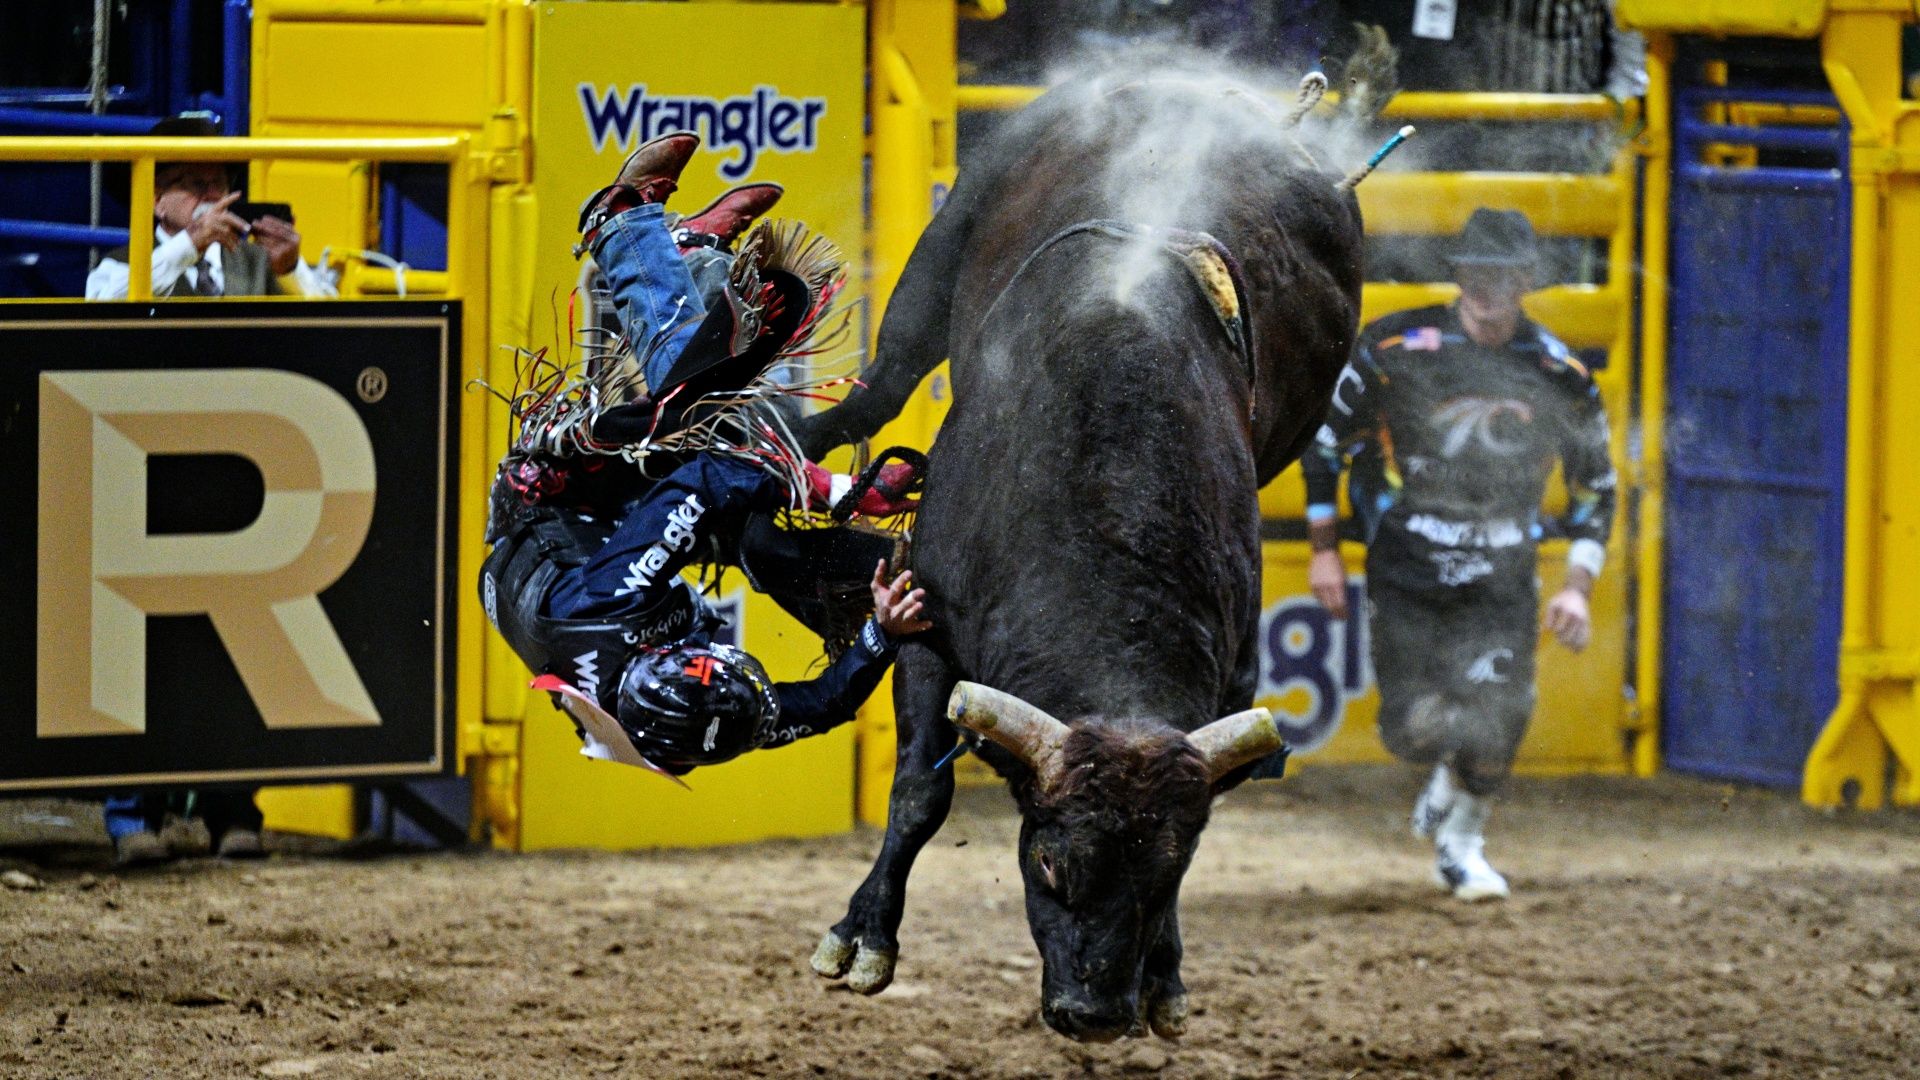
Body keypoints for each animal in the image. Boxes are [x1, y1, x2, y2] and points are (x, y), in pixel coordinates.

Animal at [798, 62, 1371, 1042]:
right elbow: (918, 792)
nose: (1093, 1013)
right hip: (940, 254)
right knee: (887, 376)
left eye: (1165, 876)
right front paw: (863, 937)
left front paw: (1166, 975)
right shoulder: (924, 620)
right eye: (1048, 864)